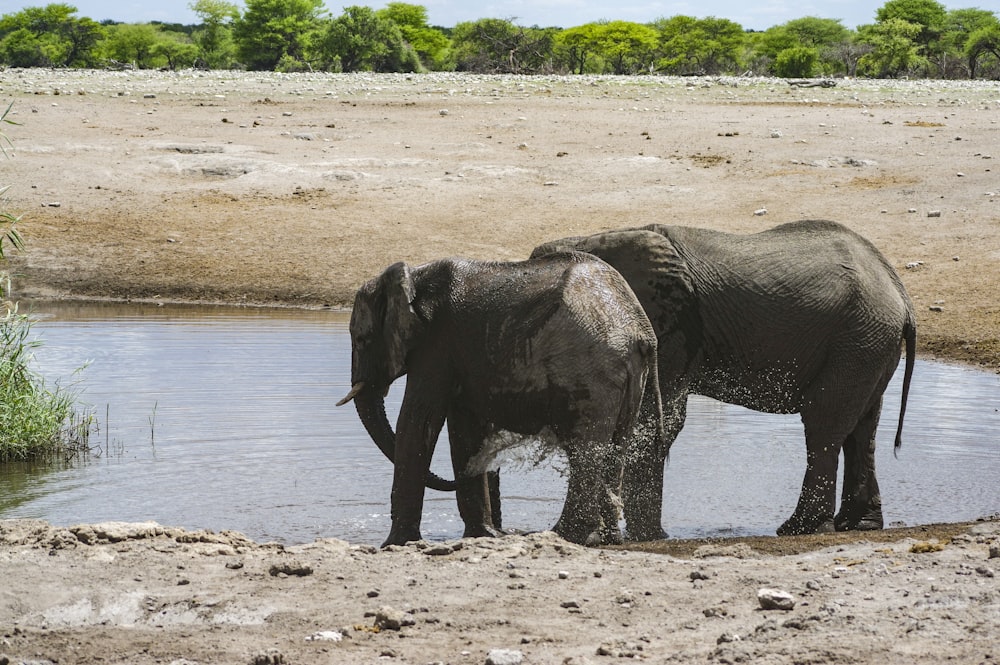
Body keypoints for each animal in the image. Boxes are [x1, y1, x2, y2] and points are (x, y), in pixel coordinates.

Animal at [338, 249, 664, 544]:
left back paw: (564, 535)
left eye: (362, 339)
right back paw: (607, 539)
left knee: (585, 448)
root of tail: (640, 330)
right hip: (625, 376)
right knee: (616, 445)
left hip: (589, 367)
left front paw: (394, 544)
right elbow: (465, 430)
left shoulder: (436, 343)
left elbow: (419, 419)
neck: (415, 276)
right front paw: (482, 534)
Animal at [532, 220, 916, 536]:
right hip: (867, 345)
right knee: (862, 428)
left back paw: (798, 529)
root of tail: (899, 291)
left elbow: (655, 423)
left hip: (858, 339)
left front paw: (648, 537)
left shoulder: (672, 326)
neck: (596, 236)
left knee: (824, 424)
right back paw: (857, 525)